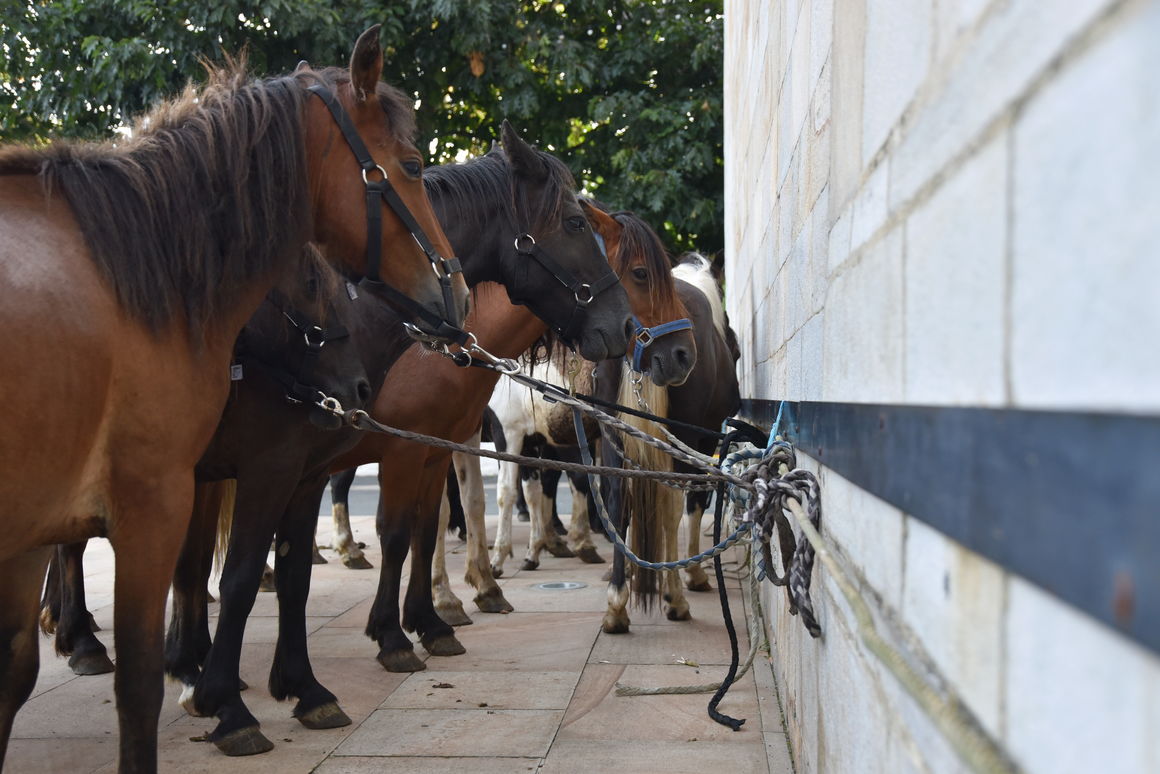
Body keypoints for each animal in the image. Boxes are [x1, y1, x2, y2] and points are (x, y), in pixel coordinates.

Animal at [0, 25, 466, 774]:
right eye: (415, 165)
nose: (456, 295)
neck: (135, 277)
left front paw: (275, 686)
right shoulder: (164, 500)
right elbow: (173, 642)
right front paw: (224, 700)